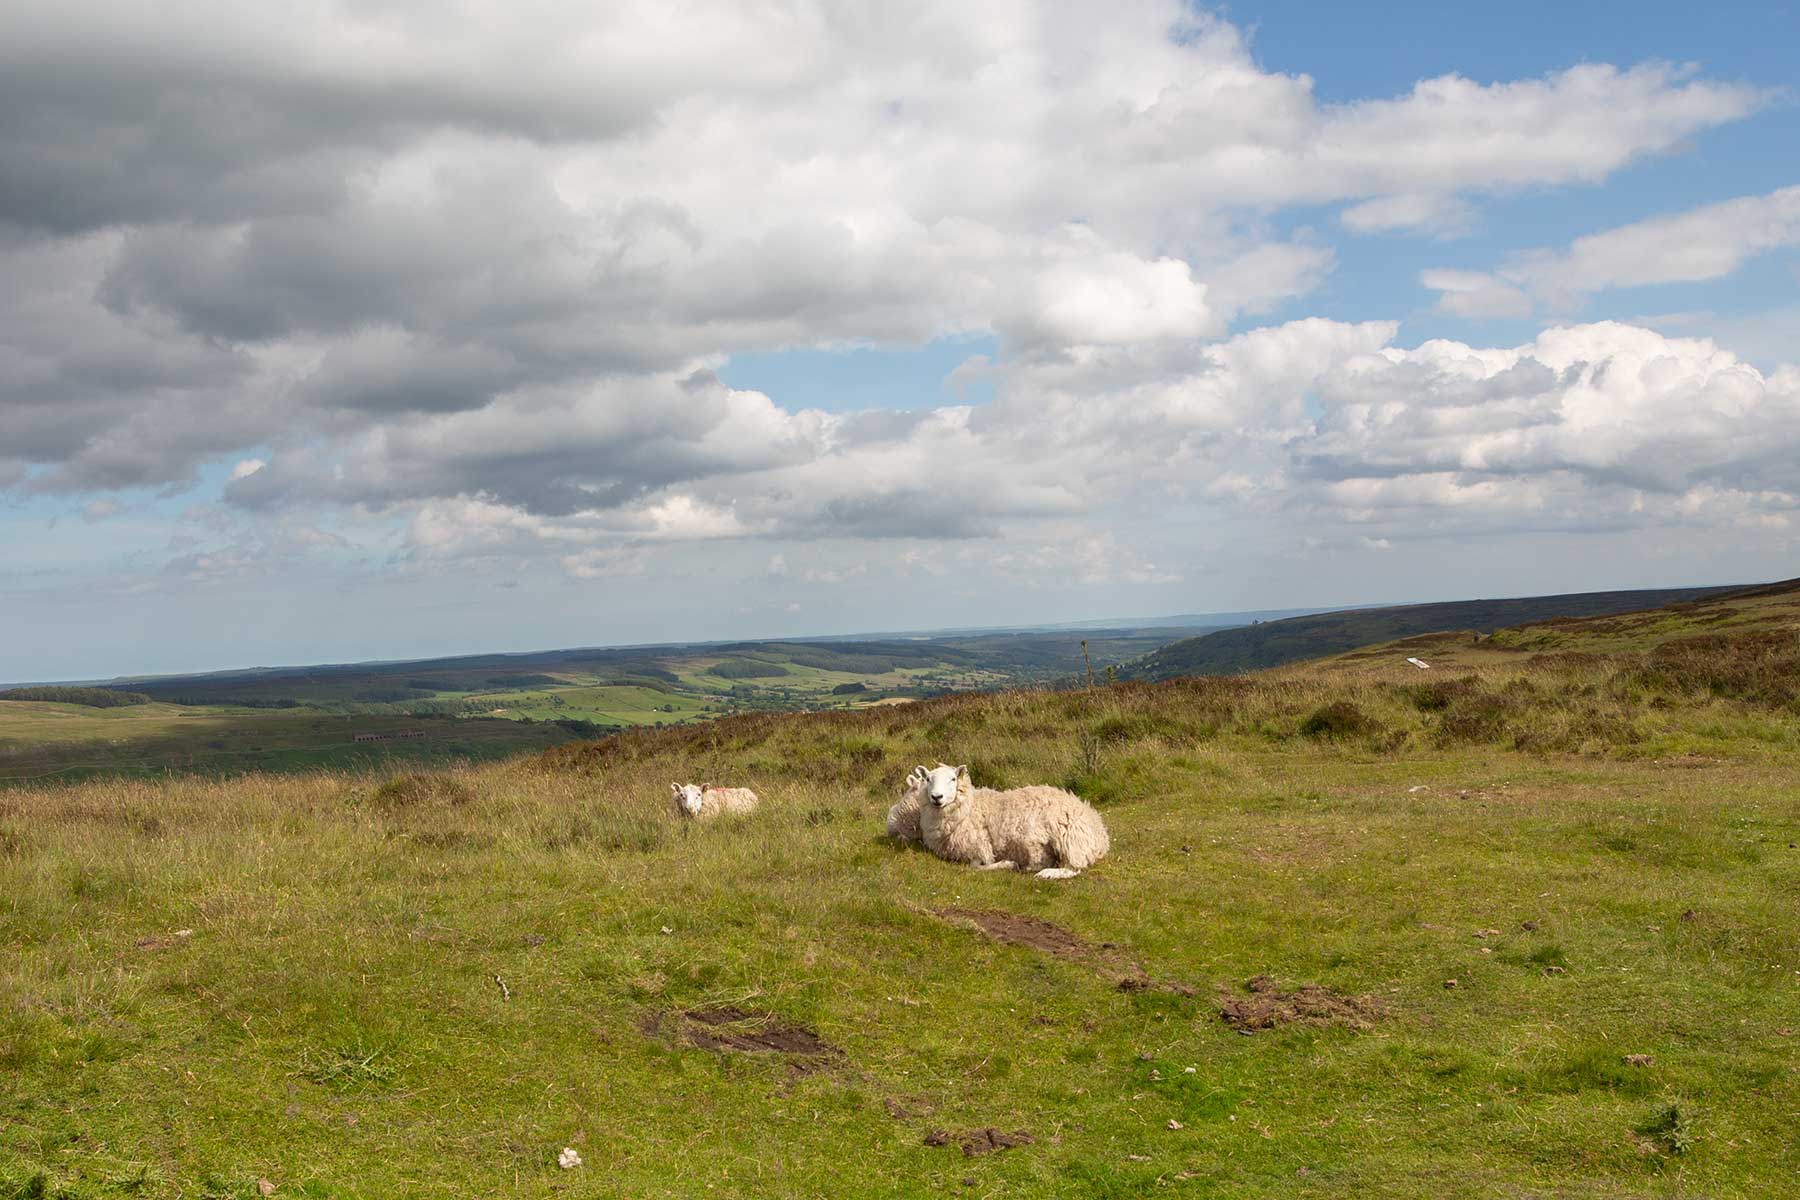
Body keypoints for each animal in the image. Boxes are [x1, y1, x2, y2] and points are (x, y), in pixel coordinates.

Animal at [921, 759, 1101, 881]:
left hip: (1069, 841)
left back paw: (1045, 873)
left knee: (1073, 867)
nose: (936, 797)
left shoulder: (980, 847)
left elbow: (977, 867)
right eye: (928, 779)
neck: (970, 808)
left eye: (953, 779)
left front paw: (1008, 864)